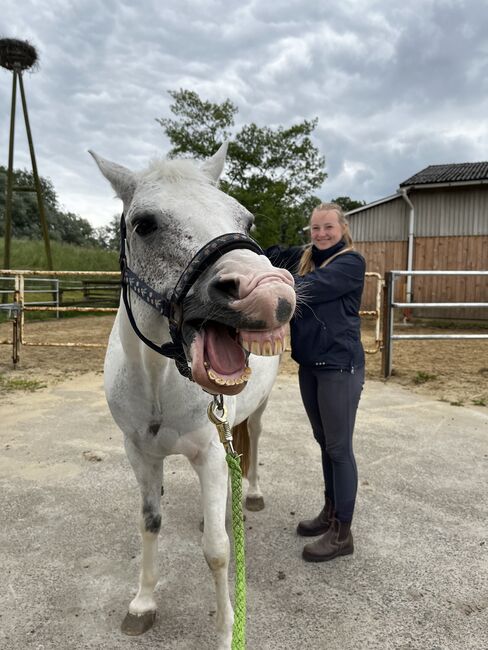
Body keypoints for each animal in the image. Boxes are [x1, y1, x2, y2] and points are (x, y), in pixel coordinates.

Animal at [90, 144, 296, 644]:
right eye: (144, 224)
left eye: (246, 220)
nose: (270, 295)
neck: (158, 381)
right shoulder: (140, 454)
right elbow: (149, 522)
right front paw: (143, 603)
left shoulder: (210, 453)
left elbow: (218, 550)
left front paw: (226, 632)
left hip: (256, 413)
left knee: (254, 444)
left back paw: (251, 495)